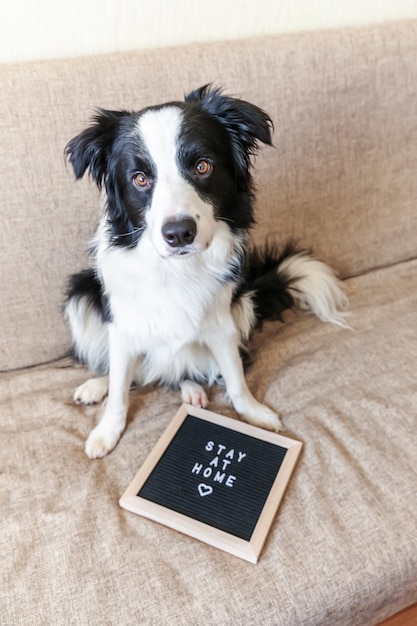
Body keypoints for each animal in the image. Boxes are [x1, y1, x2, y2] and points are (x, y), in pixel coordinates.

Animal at [65, 85, 346, 456]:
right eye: (140, 179)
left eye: (202, 166)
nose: (179, 233)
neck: (175, 269)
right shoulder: (123, 324)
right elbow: (121, 383)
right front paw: (107, 431)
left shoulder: (222, 321)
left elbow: (235, 377)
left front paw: (254, 413)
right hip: (81, 295)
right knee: (131, 370)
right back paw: (97, 386)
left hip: (244, 304)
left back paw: (192, 391)